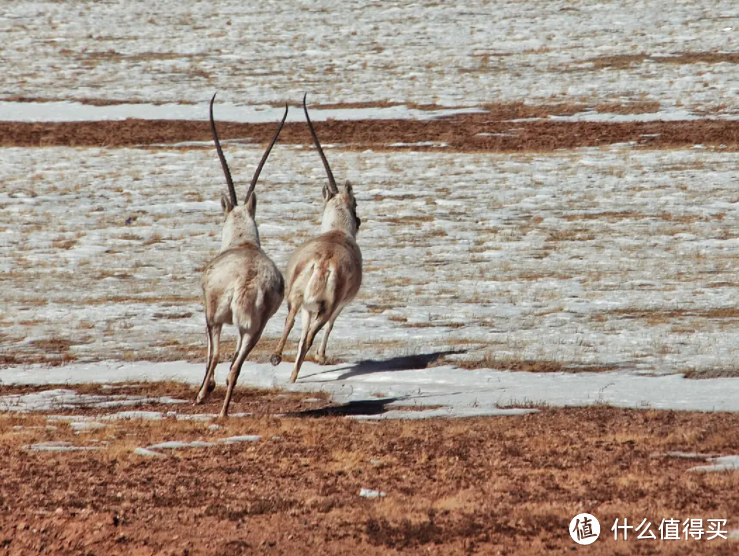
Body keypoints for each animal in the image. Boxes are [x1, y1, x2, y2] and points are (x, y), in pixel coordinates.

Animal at [195, 94, 288, 416]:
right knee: (236, 366)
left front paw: (205, 390)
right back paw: (224, 409)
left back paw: (207, 400)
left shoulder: (210, 315)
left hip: (216, 317)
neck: (244, 242)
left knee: (216, 356)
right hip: (256, 328)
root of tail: (248, 280)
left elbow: (211, 353)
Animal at [272, 94, 364, 382]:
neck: (337, 231)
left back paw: (279, 361)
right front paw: (322, 357)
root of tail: (324, 262)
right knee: (311, 335)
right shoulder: (340, 306)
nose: (359, 220)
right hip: (325, 306)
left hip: (298, 299)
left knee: (293, 323)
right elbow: (329, 327)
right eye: (355, 203)